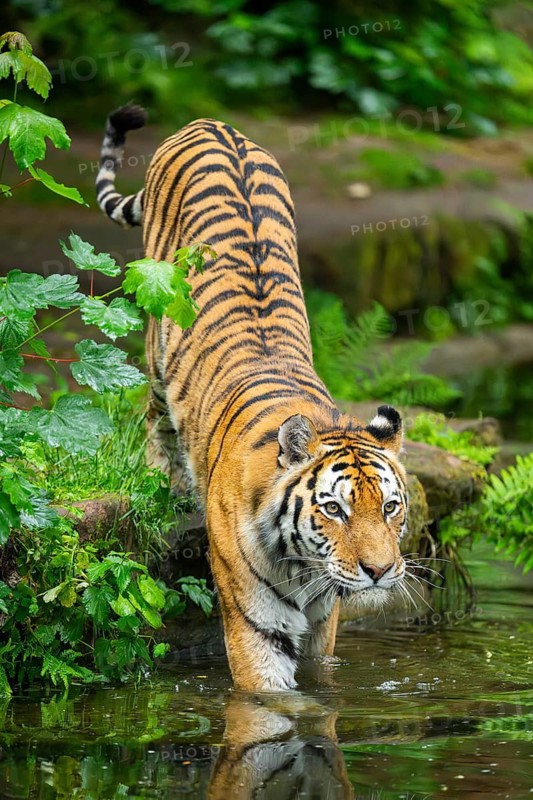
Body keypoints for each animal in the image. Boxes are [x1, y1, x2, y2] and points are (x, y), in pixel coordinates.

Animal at [96, 105, 409, 692]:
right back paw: (165, 481)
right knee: (155, 417)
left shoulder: (323, 623)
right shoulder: (256, 626)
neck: (304, 564)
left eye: (390, 507)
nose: (380, 572)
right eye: (333, 509)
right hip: (154, 334)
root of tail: (210, 123)